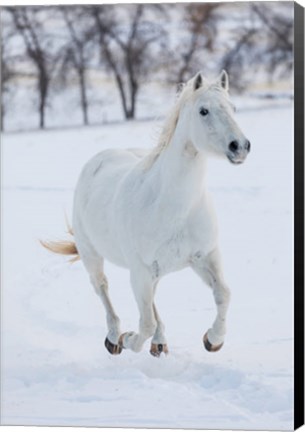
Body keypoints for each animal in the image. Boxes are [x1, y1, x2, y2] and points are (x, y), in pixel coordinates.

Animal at [42, 71, 249, 358]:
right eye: (203, 110)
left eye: (233, 108)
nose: (240, 146)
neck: (175, 208)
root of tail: (100, 158)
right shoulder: (140, 270)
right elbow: (146, 323)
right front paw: (128, 339)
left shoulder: (205, 257)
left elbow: (223, 294)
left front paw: (213, 340)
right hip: (93, 255)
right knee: (102, 287)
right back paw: (114, 338)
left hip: (152, 271)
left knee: (151, 303)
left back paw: (159, 342)